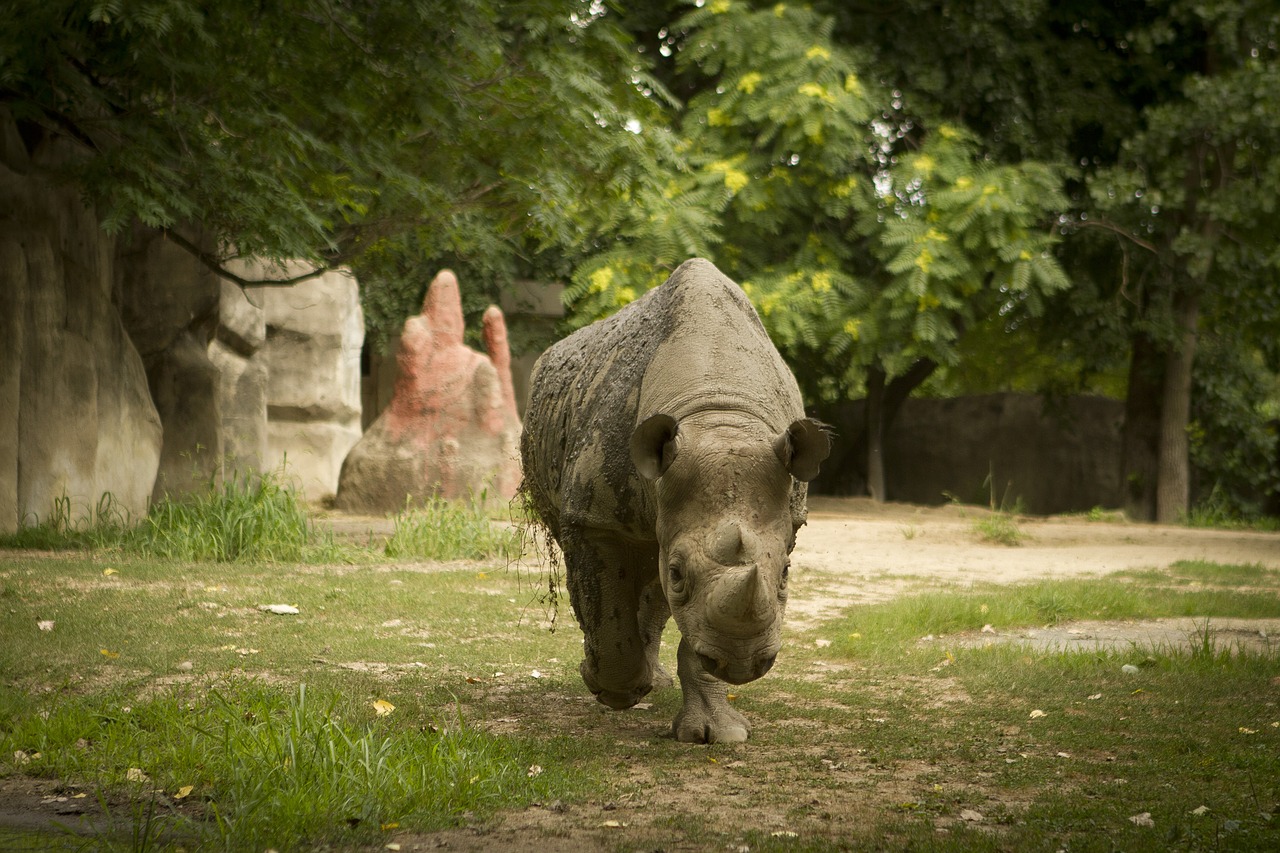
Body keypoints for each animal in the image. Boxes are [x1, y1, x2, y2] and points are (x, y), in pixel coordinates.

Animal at [519, 256, 829, 742]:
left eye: (785, 575)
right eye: (680, 573)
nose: (743, 664)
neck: (718, 411)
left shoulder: (783, 518)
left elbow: (698, 621)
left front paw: (718, 733)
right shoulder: (593, 516)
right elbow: (609, 613)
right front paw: (613, 690)